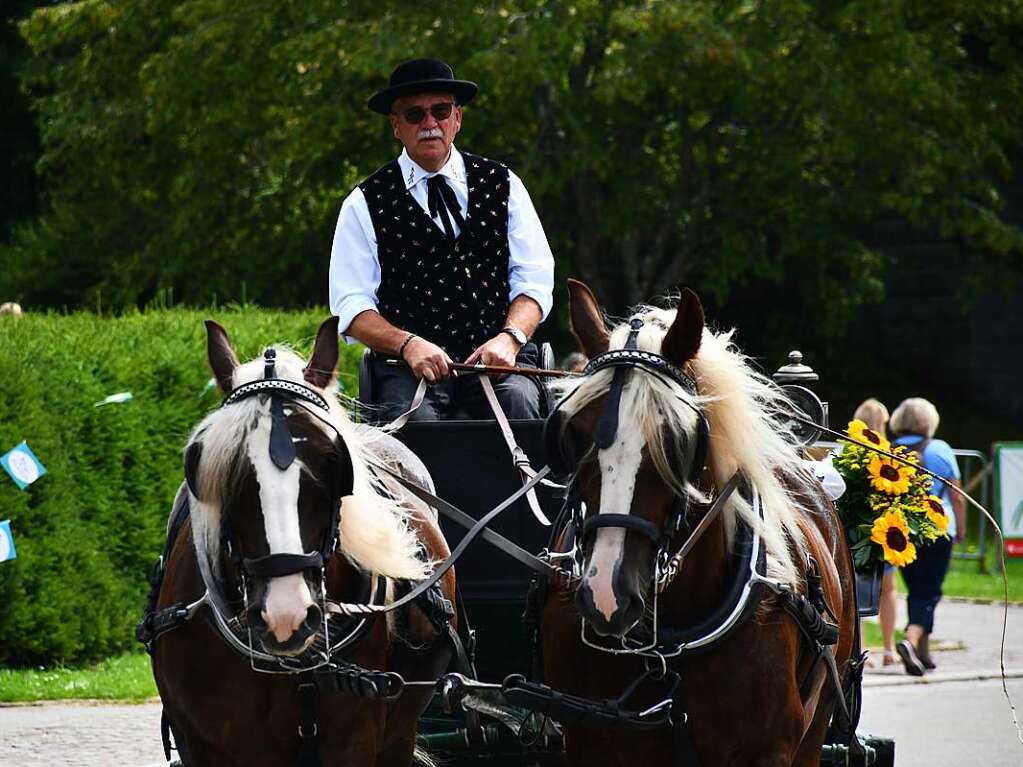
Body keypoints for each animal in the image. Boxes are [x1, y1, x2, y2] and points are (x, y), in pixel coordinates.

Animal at [141, 314, 456, 764]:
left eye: (333, 462)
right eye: (226, 469)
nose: (285, 615)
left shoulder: (357, 739)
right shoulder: (201, 742)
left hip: (398, 734)